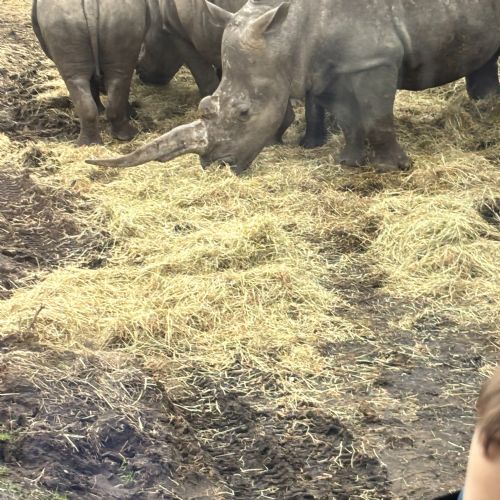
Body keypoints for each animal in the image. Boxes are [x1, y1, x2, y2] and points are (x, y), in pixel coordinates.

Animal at [32, 0, 149, 145]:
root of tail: (91, 3)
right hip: (121, 17)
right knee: (119, 76)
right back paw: (122, 137)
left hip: (62, 22)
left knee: (78, 81)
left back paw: (86, 144)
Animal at [88, 0, 500, 173]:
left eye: (244, 113)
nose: (214, 166)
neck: (285, 33)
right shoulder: (332, 67)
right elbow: (350, 119)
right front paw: (348, 162)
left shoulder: (375, 59)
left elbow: (377, 118)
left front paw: (390, 169)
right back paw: (485, 107)